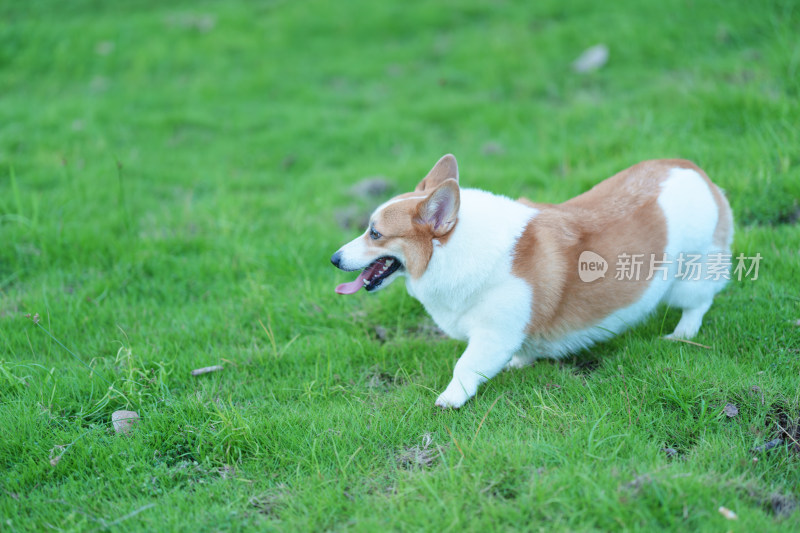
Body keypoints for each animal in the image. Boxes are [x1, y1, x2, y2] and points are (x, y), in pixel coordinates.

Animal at [330, 154, 732, 408]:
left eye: (375, 233)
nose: (334, 259)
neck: (452, 250)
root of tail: (691, 168)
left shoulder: (493, 333)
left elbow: (464, 366)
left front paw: (450, 400)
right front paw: (519, 361)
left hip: (692, 272)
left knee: (699, 303)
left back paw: (682, 334)